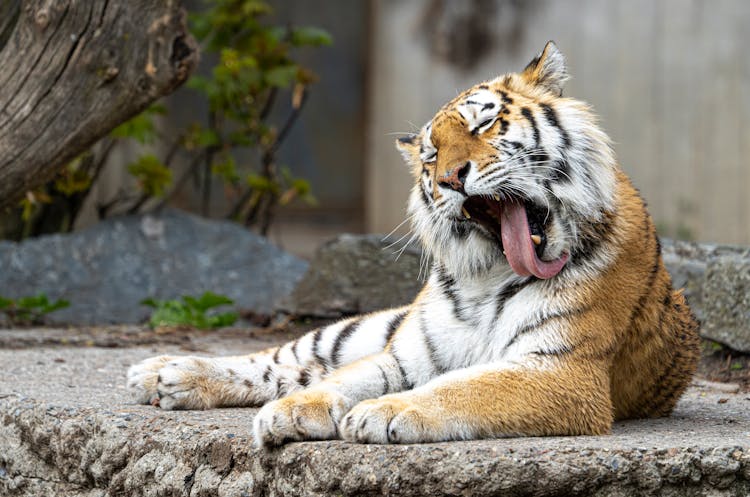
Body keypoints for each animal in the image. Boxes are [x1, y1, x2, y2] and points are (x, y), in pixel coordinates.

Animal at [126, 41, 704, 446]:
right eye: (429, 154)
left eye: (485, 122)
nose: (449, 178)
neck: (489, 274)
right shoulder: (404, 357)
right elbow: (341, 380)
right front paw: (294, 413)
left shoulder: (561, 372)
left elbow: (465, 387)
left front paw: (385, 413)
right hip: (364, 329)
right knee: (287, 359)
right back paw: (161, 371)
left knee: (296, 369)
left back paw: (167, 377)